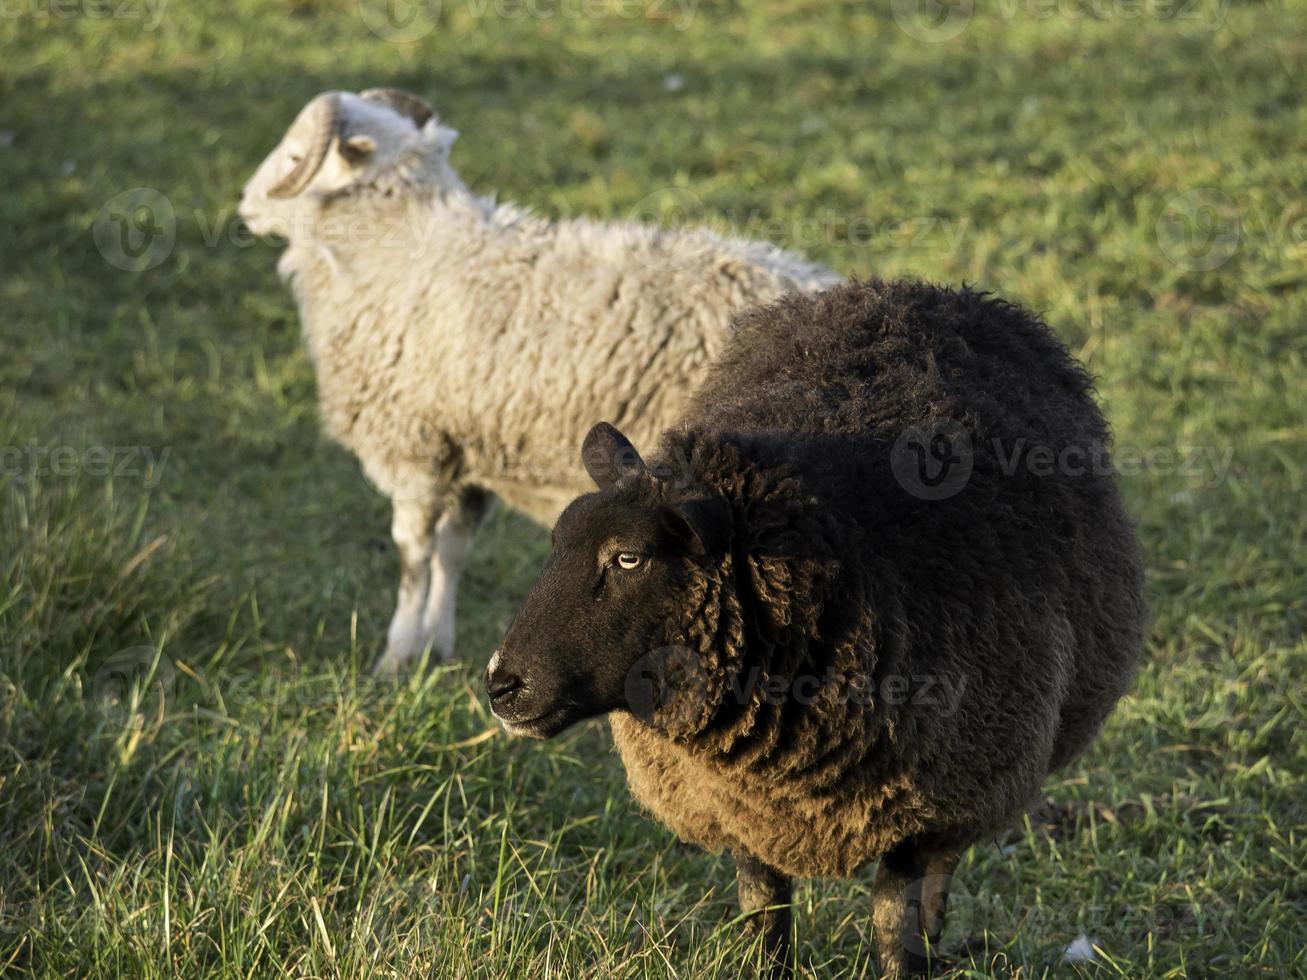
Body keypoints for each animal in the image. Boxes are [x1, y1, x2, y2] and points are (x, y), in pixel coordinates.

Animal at [239, 90, 841, 674]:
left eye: (295, 157)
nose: (244, 204)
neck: (393, 254)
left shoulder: (415, 445)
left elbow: (412, 556)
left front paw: (395, 656)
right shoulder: (468, 449)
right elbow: (452, 551)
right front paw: (438, 647)